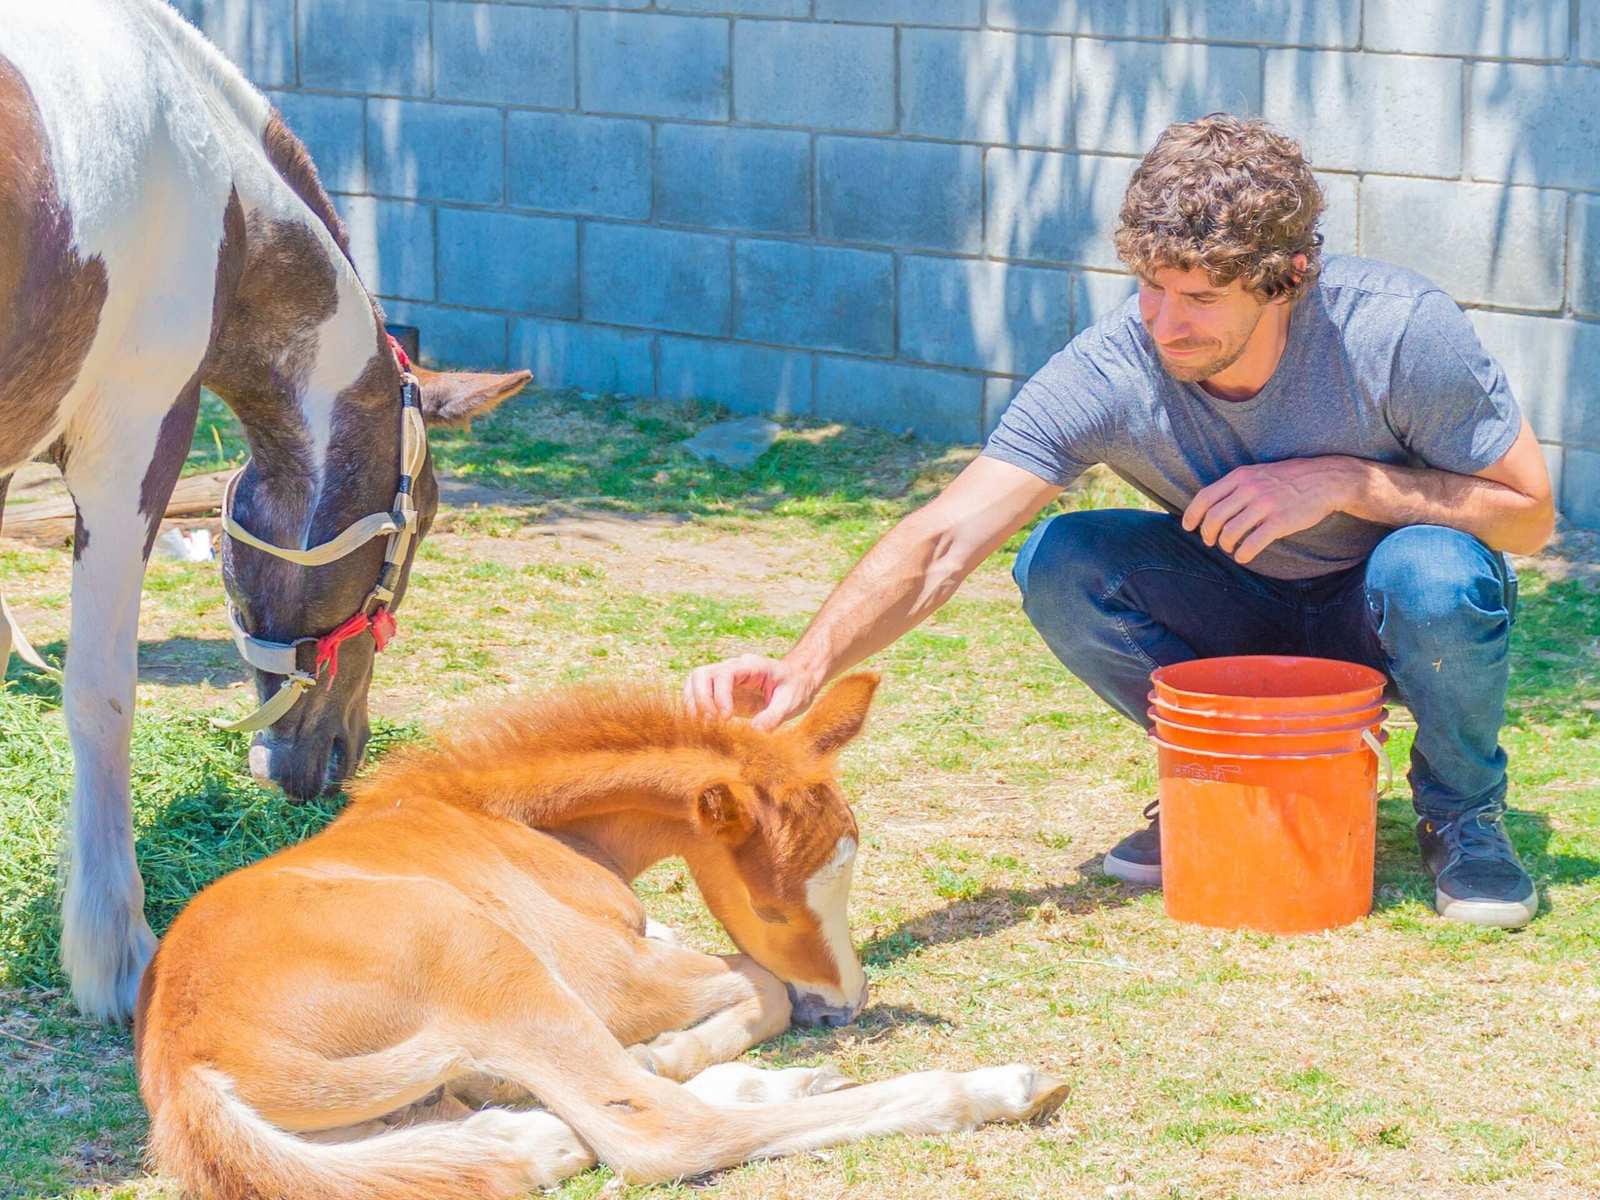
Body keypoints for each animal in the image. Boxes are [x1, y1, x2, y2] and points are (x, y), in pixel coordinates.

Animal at [3, 0, 534, 1024]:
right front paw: (114, 954)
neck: (228, 207)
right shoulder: (132, 444)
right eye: (424, 524)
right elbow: (101, 696)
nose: (335, 763)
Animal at [134, 678, 1062, 1200]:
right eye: (774, 909)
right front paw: (673, 1047)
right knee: (657, 1135)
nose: (845, 1002)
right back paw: (993, 1088)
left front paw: (680, 1051)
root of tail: (187, 1067)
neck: (510, 820)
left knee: (509, 1144)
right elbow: (758, 986)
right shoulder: (613, 977)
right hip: (495, 967)